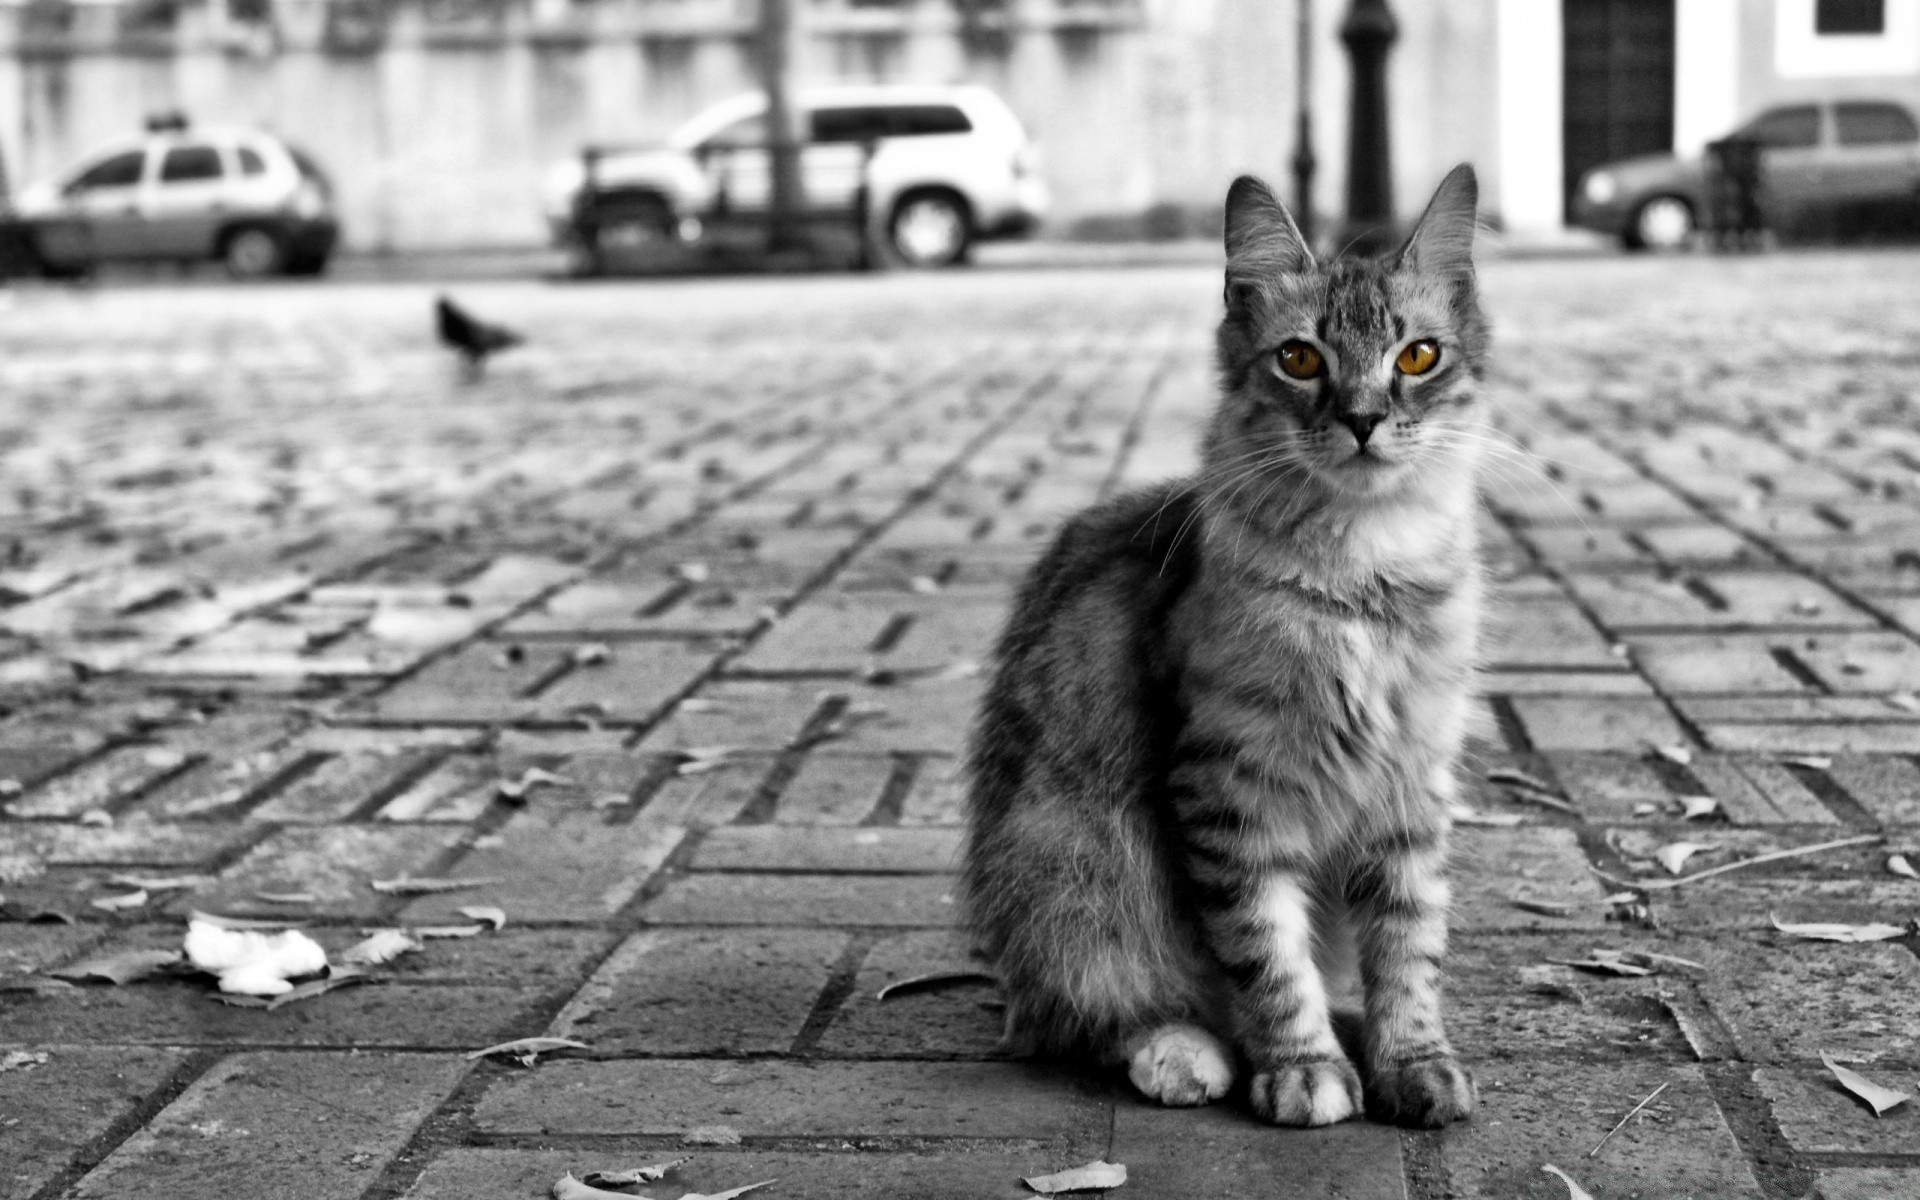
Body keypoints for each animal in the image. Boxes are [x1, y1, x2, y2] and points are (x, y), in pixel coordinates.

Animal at [967, 164, 1489, 1128]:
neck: (1363, 580)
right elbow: (1266, 956)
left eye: (1417, 357)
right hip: (1077, 867)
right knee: (1090, 1014)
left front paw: (1410, 1058)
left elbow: (1408, 947)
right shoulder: (1231, 790)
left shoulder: (1412, 787)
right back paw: (1187, 1051)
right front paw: (1302, 1068)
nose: (1364, 418)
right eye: (1301, 359)